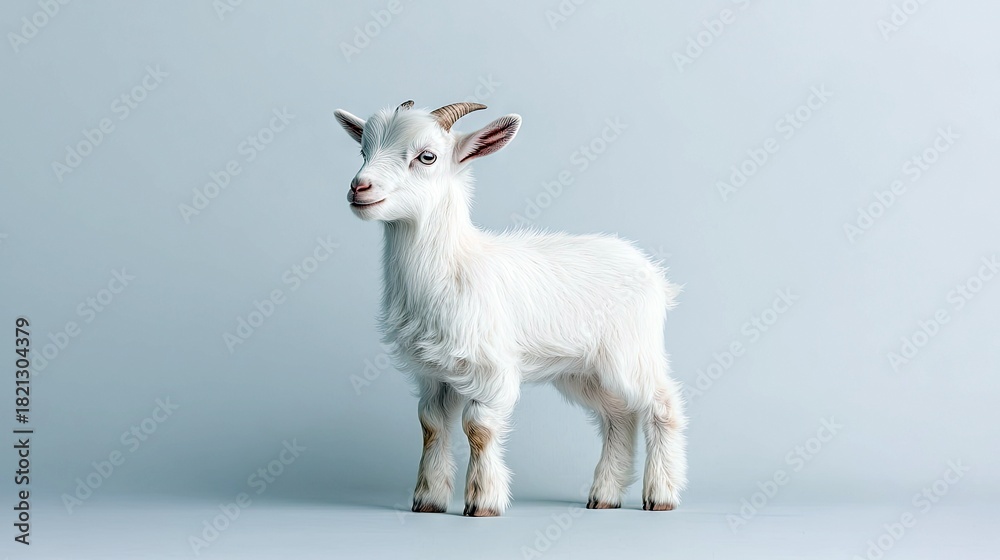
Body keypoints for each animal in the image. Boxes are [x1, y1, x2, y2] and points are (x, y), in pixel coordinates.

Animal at [334, 100, 686, 516]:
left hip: (631, 352)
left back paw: (660, 495)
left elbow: (479, 428)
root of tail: (654, 275)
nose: (359, 187)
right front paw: (428, 500)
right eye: (363, 152)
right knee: (619, 416)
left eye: (427, 156)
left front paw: (483, 502)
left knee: (662, 404)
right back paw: (604, 496)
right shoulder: (433, 373)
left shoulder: (492, 368)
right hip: (585, 371)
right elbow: (431, 425)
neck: (453, 266)